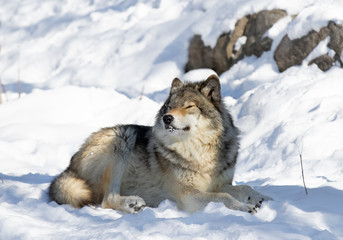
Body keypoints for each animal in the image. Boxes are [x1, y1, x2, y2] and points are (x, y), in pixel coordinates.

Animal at [49, 75, 272, 214]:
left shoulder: (221, 183)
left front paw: (262, 198)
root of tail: (69, 166)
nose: (167, 118)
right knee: (106, 199)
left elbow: (243, 187)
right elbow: (224, 197)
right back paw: (133, 203)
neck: (200, 152)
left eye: (188, 106)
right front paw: (245, 208)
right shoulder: (188, 195)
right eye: (170, 106)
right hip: (121, 139)